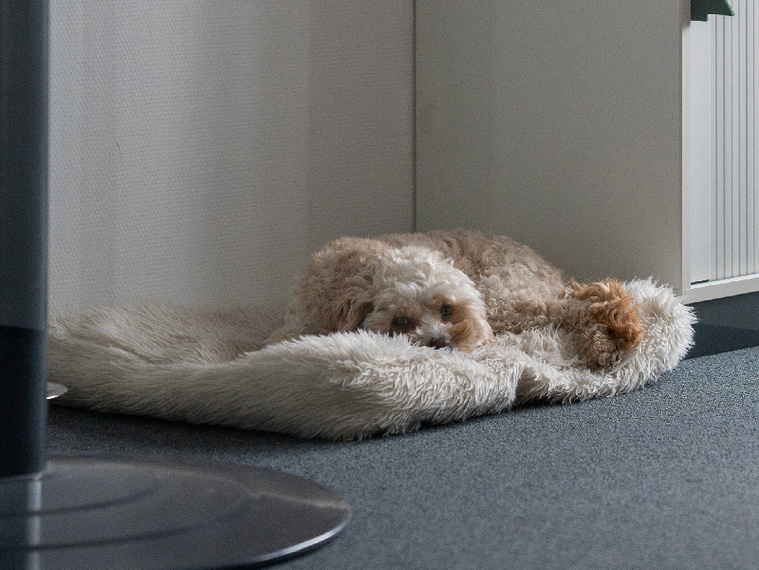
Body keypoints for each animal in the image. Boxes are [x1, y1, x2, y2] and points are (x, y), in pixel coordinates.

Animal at [268, 229, 640, 370]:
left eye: (447, 310)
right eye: (399, 321)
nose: (440, 342)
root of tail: (549, 268)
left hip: (503, 298)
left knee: (584, 301)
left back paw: (608, 340)